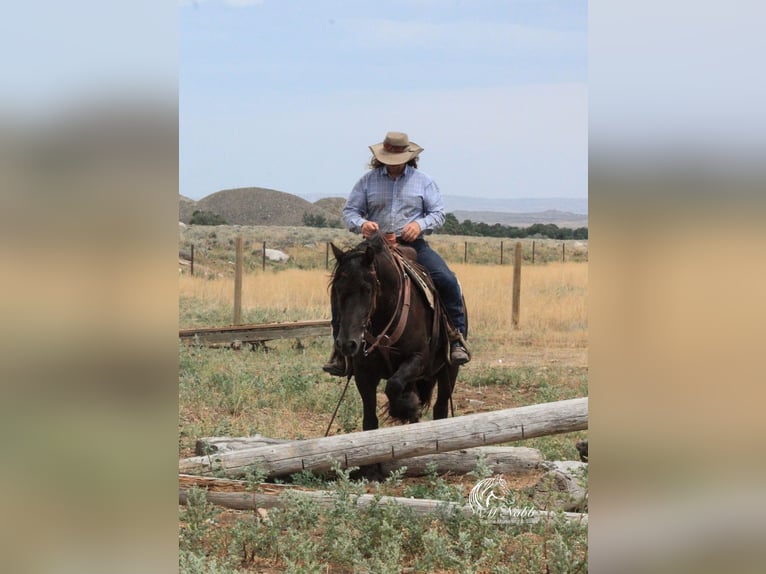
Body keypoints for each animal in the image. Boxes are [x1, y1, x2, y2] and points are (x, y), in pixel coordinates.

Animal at [328, 232, 462, 434]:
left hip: (448, 371)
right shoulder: (364, 373)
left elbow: (394, 385)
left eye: (367, 289)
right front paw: (406, 406)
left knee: (440, 408)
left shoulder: (418, 359)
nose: (346, 344)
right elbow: (370, 420)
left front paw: (405, 407)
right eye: (337, 289)